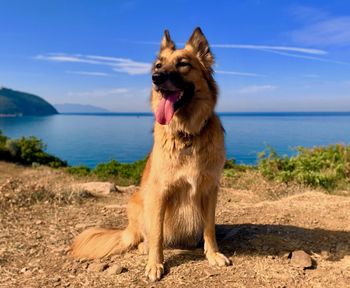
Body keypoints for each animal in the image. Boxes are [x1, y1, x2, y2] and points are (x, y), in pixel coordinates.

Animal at [69, 27, 231, 282]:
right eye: (158, 65)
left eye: (183, 64)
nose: (156, 78)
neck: (186, 135)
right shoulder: (158, 193)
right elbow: (157, 235)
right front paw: (155, 264)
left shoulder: (209, 189)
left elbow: (209, 228)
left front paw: (212, 253)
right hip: (137, 200)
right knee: (143, 236)